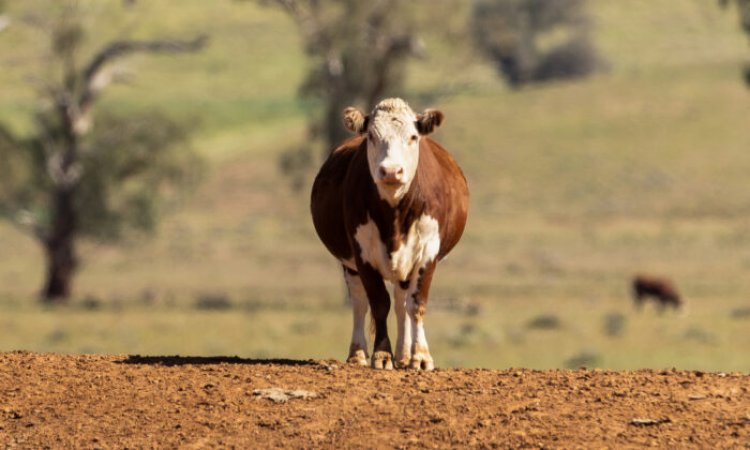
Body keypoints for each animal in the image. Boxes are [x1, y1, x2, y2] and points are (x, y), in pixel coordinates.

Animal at [310, 98, 469, 370]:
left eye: (413, 136)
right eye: (372, 136)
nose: (392, 171)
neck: (394, 214)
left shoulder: (428, 252)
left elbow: (416, 304)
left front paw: (420, 357)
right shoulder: (362, 252)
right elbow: (378, 303)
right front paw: (382, 355)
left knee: (402, 302)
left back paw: (404, 355)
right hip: (350, 264)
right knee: (360, 302)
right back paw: (358, 353)